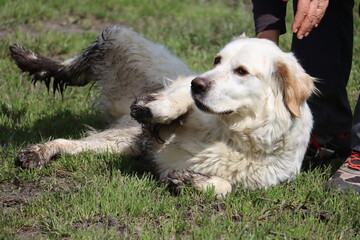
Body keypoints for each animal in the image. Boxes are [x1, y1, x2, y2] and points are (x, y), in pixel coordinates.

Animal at [9, 25, 316, 195]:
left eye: (241, 71)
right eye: (217, 60)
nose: (199, 84)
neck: (229, 130)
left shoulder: (263, 181)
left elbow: (225, 187)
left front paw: (188, 180)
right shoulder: (182, 84)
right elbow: (176, 101)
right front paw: (153, 111)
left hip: (118, 142)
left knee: (69, 144)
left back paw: (38, 153)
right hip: (124, 41)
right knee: (76, 67)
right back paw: (28, 59)